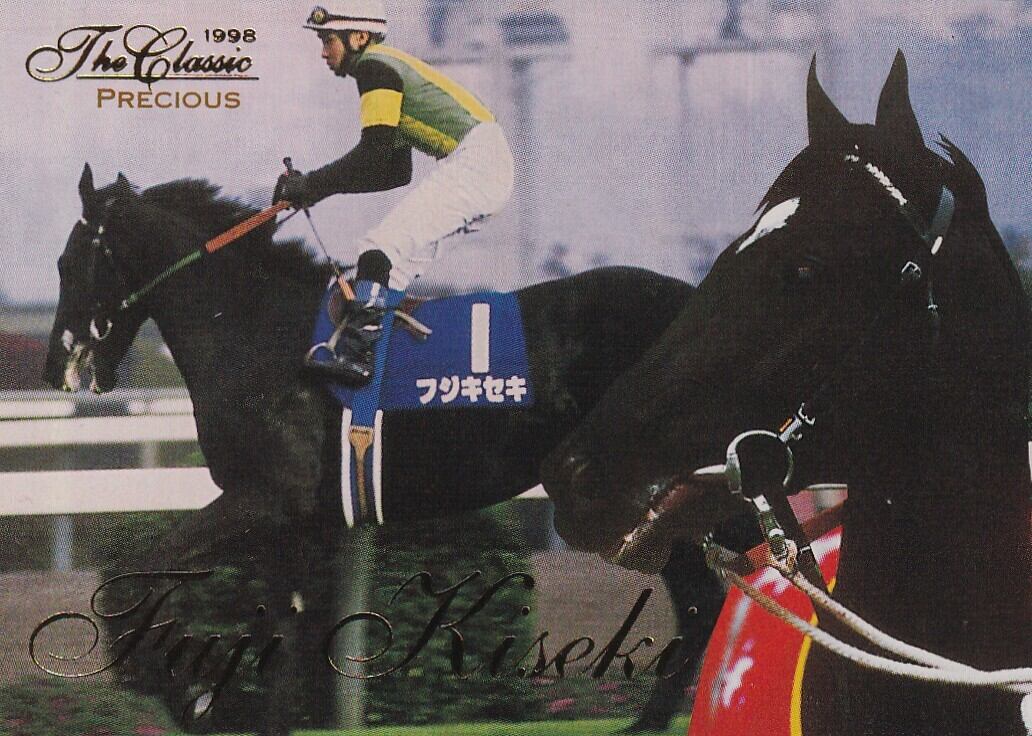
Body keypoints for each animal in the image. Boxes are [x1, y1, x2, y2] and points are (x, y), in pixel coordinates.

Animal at [42, 174, 739, 733]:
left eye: (69, 263)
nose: (55, 366)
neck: (253, 335)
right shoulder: (298, 523)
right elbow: (287, 630)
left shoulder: (261, 500)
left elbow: (130, 575)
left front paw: (186, 692)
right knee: (704, 599)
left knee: (713, 595)